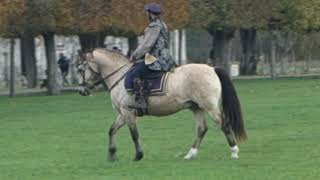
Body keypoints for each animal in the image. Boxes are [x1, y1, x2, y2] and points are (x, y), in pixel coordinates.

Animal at [77, 48, 248, 162]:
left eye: (80, 68)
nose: (81, 90)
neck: (120, 77)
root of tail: (212, 69)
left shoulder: (128, 112)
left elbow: (134, 134)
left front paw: (138, 155)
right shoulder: (123, 113)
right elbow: (112, 130)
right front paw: (112, 155)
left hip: (210, 107)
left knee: (224, 124)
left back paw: (234, 151)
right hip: (196, 107)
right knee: (201, 129)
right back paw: (190, 154)